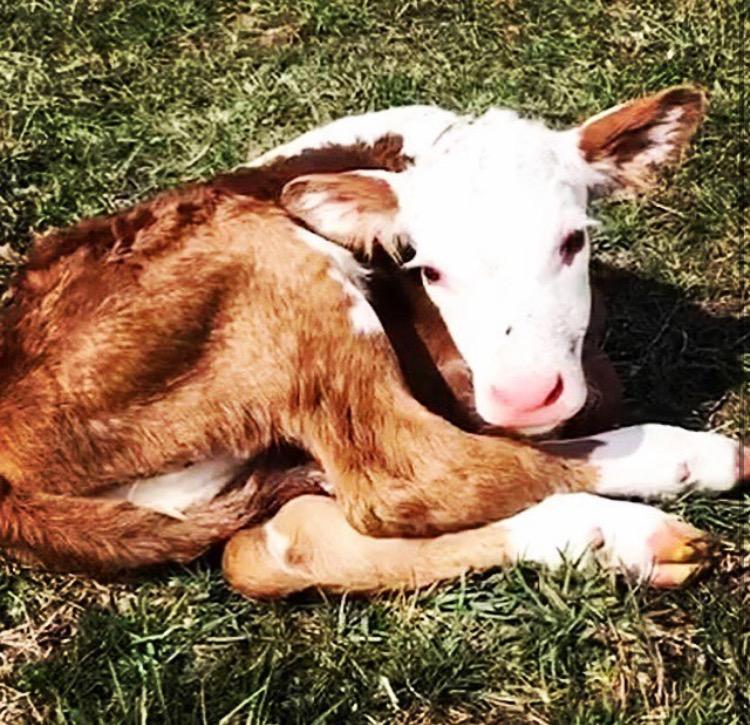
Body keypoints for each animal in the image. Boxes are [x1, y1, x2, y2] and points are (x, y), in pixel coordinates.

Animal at [0, 87, 748, 596]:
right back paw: (679, 471)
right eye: (429, 268)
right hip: (278, 258)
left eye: (574, 241)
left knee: (278, 544)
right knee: (410, 477)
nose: (526, 395)